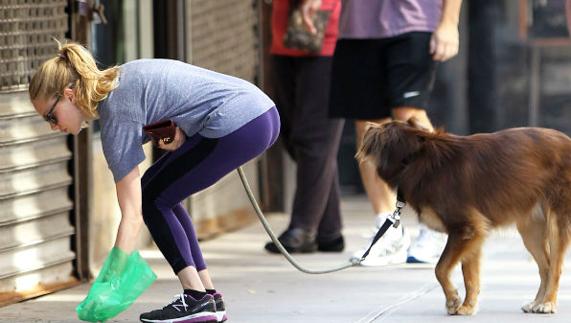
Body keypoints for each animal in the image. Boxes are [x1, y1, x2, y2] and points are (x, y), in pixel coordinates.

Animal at [358, 120, 571, 316]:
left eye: (384, 125)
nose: (368, 124)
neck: (416, 158)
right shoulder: (473, 233)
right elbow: (469, 276)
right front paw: (468, 306)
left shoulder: (466, 228)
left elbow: (441, 268)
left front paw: (453, 300)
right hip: (530, 231)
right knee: (546, 267)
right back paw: (537, 302)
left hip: (556, 221)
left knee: (555, 267)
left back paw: (548, 303)